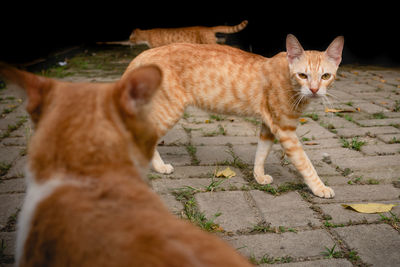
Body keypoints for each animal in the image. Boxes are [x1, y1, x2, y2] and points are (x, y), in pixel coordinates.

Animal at [126, 34, 346, 199]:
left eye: (326, 76)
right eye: (302, 75)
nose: (314, 90)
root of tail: (145, 53)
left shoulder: (269, 126)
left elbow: (261, 153)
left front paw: (259, 176)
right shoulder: (285, 130)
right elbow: (305, 163)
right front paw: (320, 188)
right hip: (170, 110)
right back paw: (157, 166)